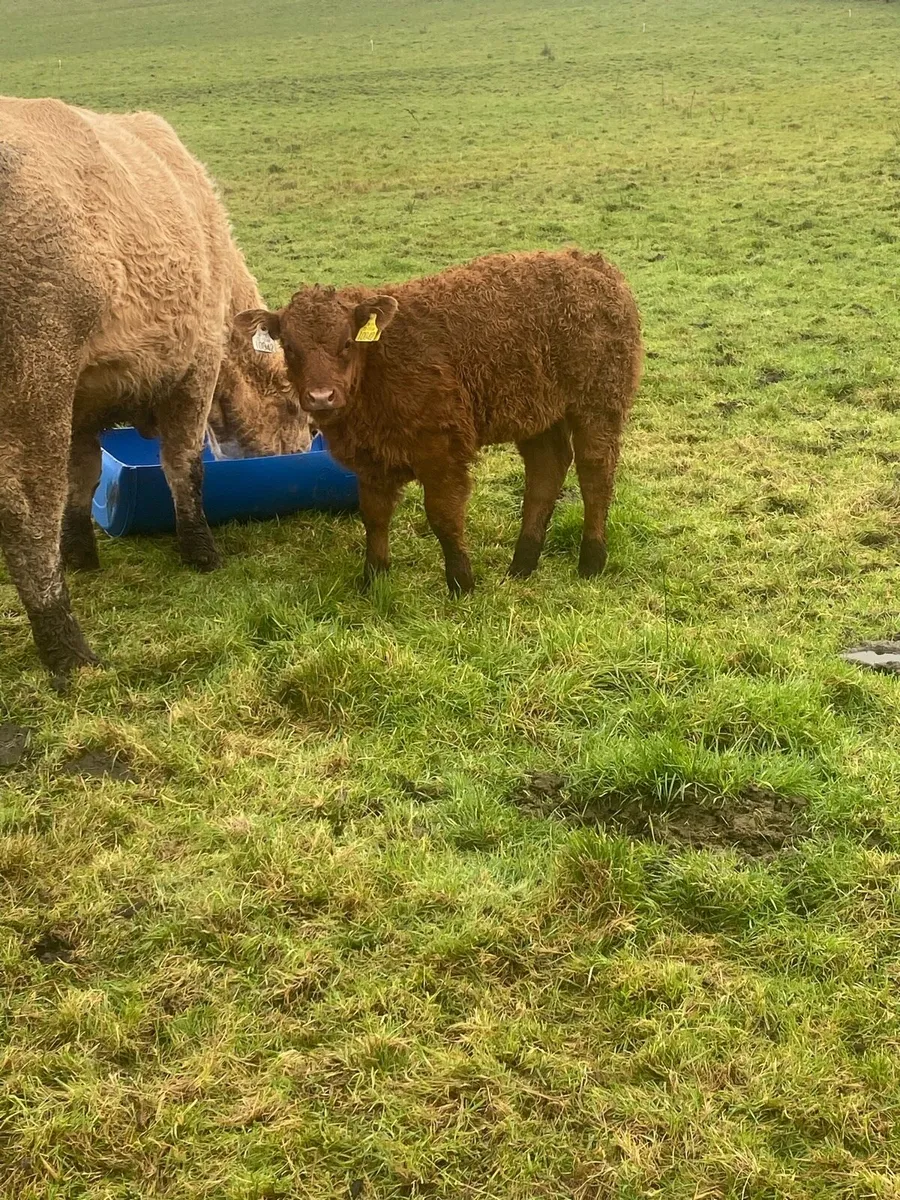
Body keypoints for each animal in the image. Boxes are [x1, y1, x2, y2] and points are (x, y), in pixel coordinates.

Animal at [0, 97, 309, 682]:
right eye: (299, 410)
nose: (303, 452)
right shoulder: (196, 369)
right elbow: (183, 464)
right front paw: (201, 551)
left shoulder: (83, 406)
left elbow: (85, 476)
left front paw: (81, 553)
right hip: (34, 382)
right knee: (28, 511)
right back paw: (67, 648)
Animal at [235, 250, 642, 594]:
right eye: (288, 347)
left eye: (347, 343)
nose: (320, 397)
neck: (378, 366)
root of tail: (593, 264)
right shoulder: (372, 460)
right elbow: (375, 515)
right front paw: (373, 579)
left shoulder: (441, 448)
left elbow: (443, 515)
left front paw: (462, 583)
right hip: (539, 413)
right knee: (546, 471)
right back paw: (522, 565)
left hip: (598, 400)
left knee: (595, 472)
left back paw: (591, 561)